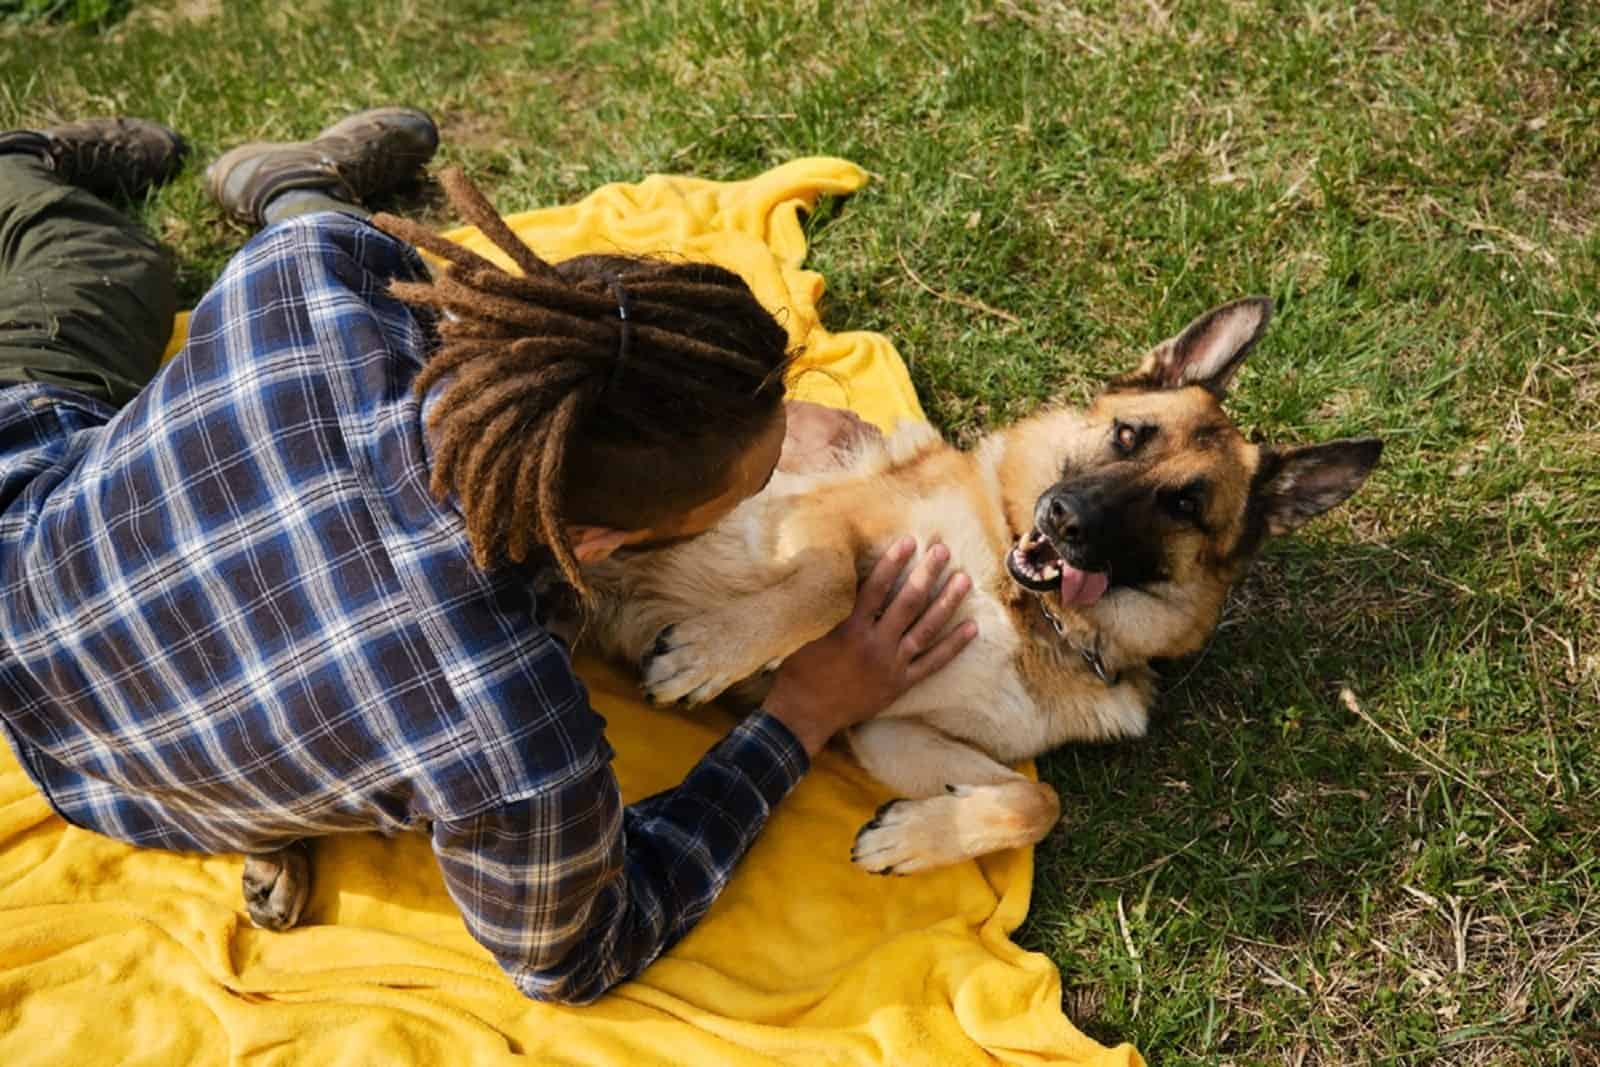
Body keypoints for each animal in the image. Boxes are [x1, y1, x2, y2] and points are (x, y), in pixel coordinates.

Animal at [582, 300, 1382, 876]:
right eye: (1129, 436)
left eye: (1183, 504)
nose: (1064, 519)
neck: (1029, 610)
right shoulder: (820, 520)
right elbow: (832, 586)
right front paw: (707, 657)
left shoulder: (887, 728)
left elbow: (1038, 799)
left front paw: (912, 837)